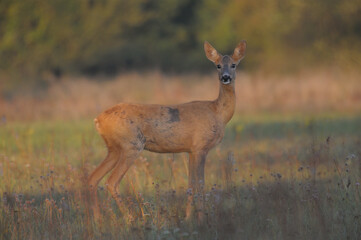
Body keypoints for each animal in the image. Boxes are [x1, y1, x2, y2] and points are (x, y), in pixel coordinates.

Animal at [87, 40, 246, 220]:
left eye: (233, 65)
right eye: (218, 65)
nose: (225, 77)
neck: (218, 112)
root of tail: (98, 120)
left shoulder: (191, 150)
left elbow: (191, 185)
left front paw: (188, 217)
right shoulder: (200, 147)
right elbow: (200, 184)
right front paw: (201, 217)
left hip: (113, 148)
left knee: (92, 178)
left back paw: (98, 220)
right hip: (131, 145)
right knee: (111, 182)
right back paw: (130, 219)